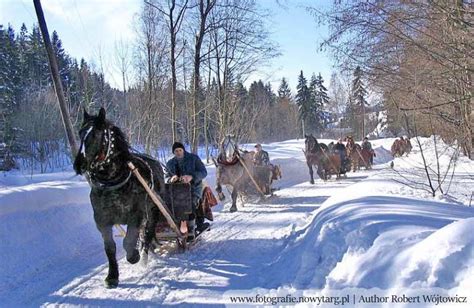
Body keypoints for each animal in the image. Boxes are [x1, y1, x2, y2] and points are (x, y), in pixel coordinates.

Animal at [72, 108, 165, 288]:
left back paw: (143, 258)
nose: (78, 164)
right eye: (80, 133)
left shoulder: (137, 214)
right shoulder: (102, 220)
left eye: (97, 133)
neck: (112, 182)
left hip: (153, 211)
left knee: (148, 233)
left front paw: (134, 256)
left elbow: (128, 241)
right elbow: (110, 248)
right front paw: (112, 276)